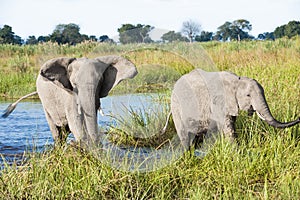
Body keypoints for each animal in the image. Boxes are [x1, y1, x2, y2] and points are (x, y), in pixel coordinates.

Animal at [2, 55, 138, 147]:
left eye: (100, 82)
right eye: (74, 83)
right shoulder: (70, 97)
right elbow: (76, 124)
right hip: (44, 102)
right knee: (57, 132)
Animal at [171, 69, 300, 148]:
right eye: (248, 95)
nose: (299, 118)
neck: (235, 81)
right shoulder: (219, 102)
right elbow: (228, 127)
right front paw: (237, 152)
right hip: (175, 106)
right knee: (184, 134)